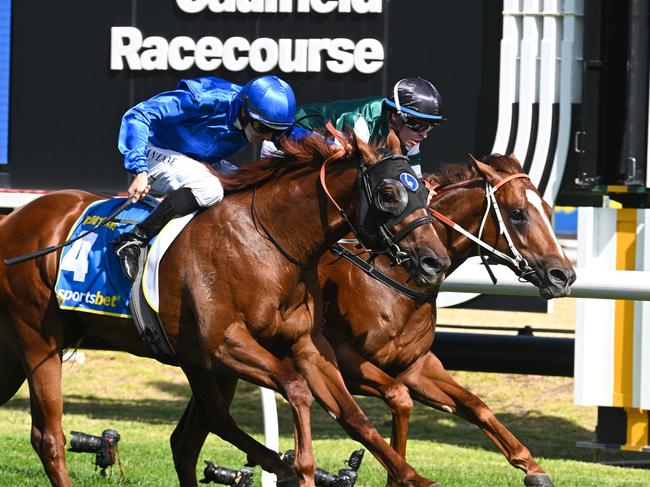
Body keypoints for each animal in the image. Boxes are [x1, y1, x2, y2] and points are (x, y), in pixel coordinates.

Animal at [0, 134, 448, 487]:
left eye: (424, 193)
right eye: (389, 194)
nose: (435, 262)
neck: (269, 239)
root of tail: (14, 220)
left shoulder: (306, 346)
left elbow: (354, 416)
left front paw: (410, 475)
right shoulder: (225, 343)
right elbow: (296, 388)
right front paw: (301, 468)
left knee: (202, 426)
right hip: (39, 341)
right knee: (49, 437)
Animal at [166, 153, 572, 487]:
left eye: (549, 210)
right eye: (518, 213)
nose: (563, 275)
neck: (393, 274)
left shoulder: (415, 365)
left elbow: (476, 405)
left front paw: (533, 469)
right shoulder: (347, 361)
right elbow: (398, 398)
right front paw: (399, 476)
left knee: (188, 438)